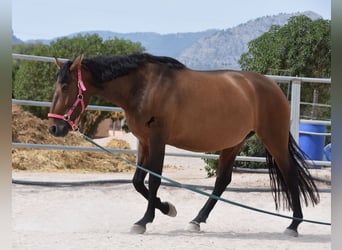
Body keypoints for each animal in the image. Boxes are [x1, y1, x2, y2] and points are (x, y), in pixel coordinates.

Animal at [46, 52, 320, 236]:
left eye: (66, 86)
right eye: (56, 85)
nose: (54, 128)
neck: (144, 86)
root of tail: (272, 87)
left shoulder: (158, 140)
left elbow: (154, 179)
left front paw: (145, 220)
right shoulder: (143, 141)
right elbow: (137, 181)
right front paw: (167, 208)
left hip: (273, 139)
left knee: (290, 174)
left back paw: (294, 225)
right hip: (233, 143)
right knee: (222, 181)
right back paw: (197, 220)